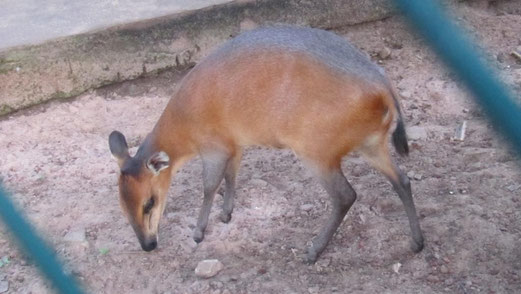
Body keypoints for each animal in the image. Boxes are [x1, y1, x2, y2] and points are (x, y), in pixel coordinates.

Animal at [108, 25, 422, 262]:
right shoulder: (235, 145)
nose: (148, 245)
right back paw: (417, 242)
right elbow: (231, 177)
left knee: (346, 195)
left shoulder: (213, 147)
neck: (184, 124)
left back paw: (313, 251)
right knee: (402, 180)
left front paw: (199, 231)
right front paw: (226, 214)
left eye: (150, 202)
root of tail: (384, 88)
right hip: (371, 144)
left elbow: (209, 186)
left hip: (317, 152)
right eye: (121, 206)